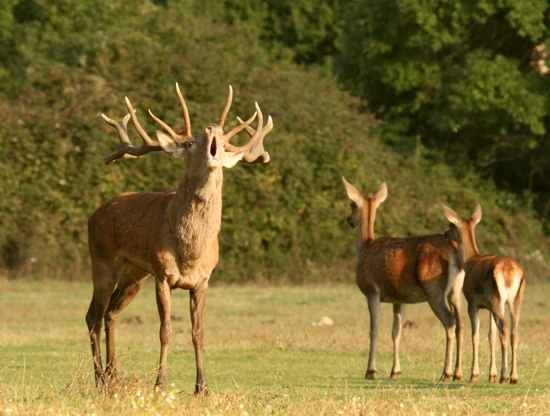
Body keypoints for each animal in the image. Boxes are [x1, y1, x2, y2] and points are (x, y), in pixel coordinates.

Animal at [85, 83, 274, 394]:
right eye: (189, 143)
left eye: (224, 144)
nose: (213, 129)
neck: (190, 253)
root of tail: (92, 215)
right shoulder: (163, 275)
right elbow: (165, 330)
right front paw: (160, 384)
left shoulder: (203, 280)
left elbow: (198, 332)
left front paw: (203, 387)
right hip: (102, 259)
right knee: (93, 316)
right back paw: (100, 379)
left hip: (135, 273)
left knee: (111, 312)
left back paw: (114, 376)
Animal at [344, 178, 466, 380]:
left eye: (352, 204)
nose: (349, 220)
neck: (365, 248)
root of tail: (455, 251)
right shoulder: (399, 298)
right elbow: (396, 332)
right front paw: (395, 371)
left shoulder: (371, 290)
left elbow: (374, 329)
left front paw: (370, 371)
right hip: (456, 290)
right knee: (461, 323)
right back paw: (458, 373)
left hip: (433, 289)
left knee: (450, 321)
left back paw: (446, 373)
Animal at [442, 204, 528, 384]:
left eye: (452, 225)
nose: (445, 233)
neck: (470, 262)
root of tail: (512, 272)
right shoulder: (488, 307)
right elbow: (491, 335)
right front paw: (491, 375)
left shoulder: (472, 302)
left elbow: (476, 335)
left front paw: (474, 374)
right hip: (516, 299)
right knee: (514, 332)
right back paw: (514, 377)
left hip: (497, 298)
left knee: (504, 329)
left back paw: (504, 376)